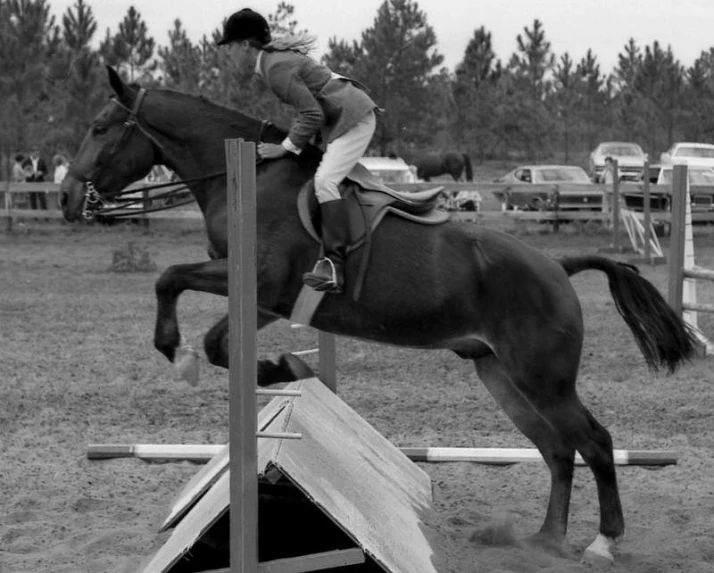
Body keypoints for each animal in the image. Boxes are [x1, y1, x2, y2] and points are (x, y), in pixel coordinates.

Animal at [61, 67, 696, 564]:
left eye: (100, 128)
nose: (68, 199)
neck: (250, 177)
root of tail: (558, 266)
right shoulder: (267, 301)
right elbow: (216, 337)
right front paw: (283, 369)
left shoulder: (263, 284)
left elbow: (172, 283)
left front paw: (190, 354)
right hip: (500, 376)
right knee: (558, 449)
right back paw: (543, 540)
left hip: (543, 377)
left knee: (594, 441)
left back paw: (601, 543)